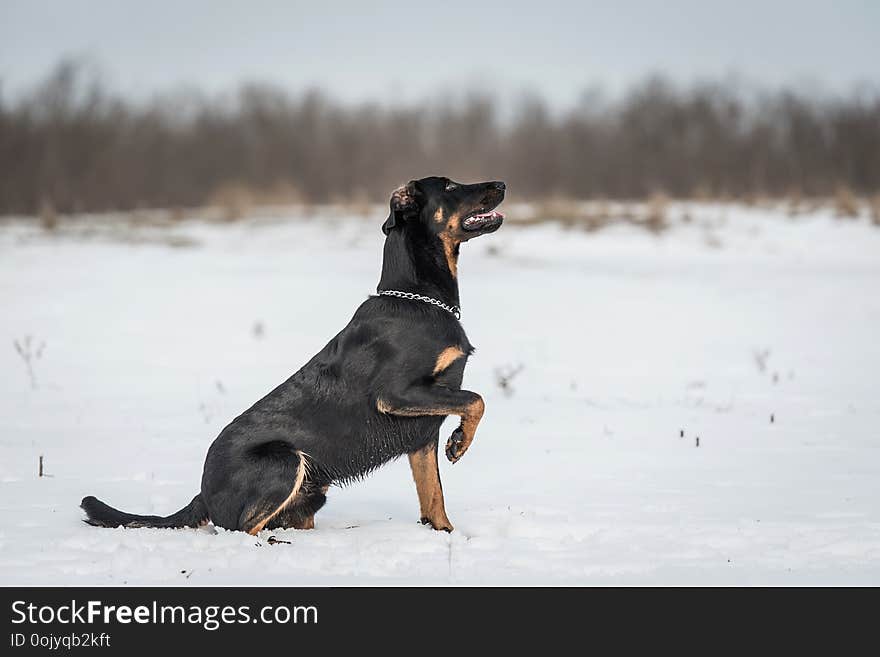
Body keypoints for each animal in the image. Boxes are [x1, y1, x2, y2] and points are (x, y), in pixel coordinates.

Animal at [82, 176, 508, 532]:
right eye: (450, 186)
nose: (502, 184)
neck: (418, 298)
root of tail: (202, 493)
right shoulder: (399, 393)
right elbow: (476, 399)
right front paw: (460, 443)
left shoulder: (421, 434)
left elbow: (433, 495)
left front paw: (447, 534)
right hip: (285, 460)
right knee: (242, 528)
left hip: (310, 492)